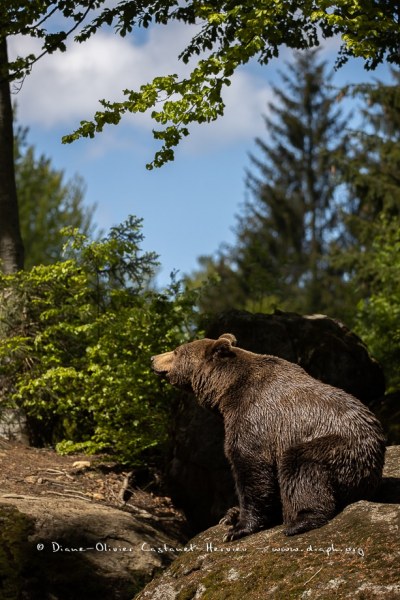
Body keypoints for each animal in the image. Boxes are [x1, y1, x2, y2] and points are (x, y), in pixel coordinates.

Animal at [152, 332, 386, 540]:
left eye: (176, 350)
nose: (153, 358)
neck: (227, 392)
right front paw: (231, 514)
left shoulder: (255, 416)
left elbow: (251, 467)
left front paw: (239, 528)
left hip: (342, 448)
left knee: (300, 465)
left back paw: (301, 521)